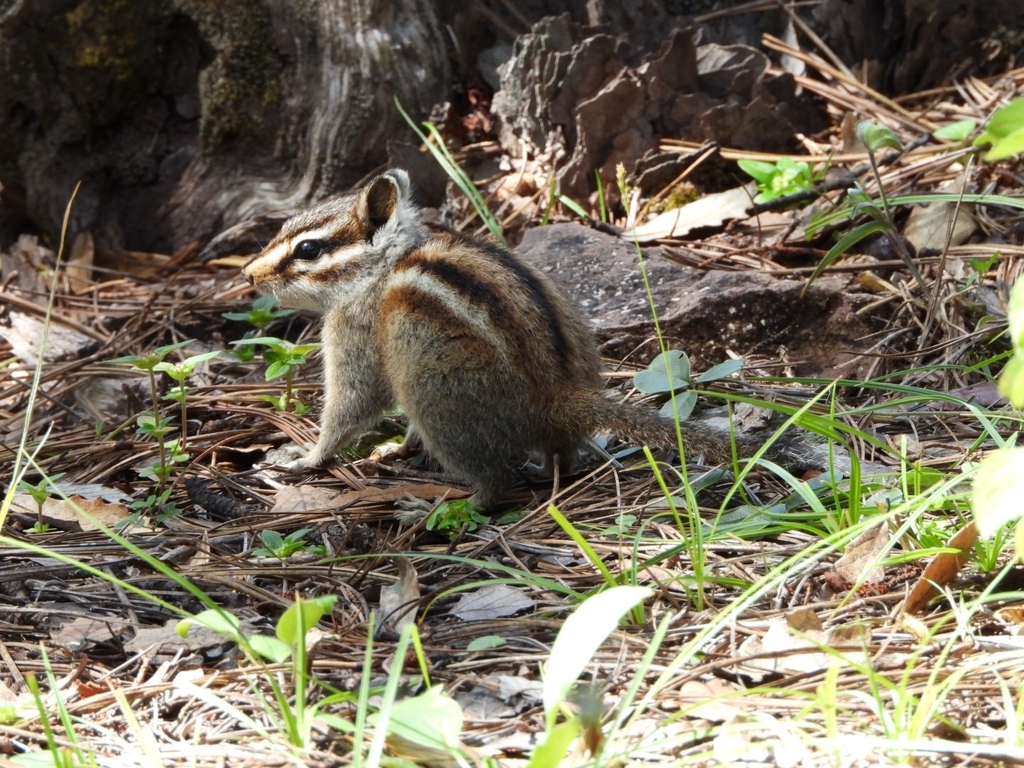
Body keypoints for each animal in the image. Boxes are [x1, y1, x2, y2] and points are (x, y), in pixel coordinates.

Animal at [242, 169, 825, 509]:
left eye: (309, 249)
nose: (248, 274)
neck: (386, 265)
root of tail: (559, 396)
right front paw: (395, 446)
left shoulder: (355, 333)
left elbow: (350, 407)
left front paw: (305, 459)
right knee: (560, 458)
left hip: (438, 397)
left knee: (496, 484)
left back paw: (445, 505)